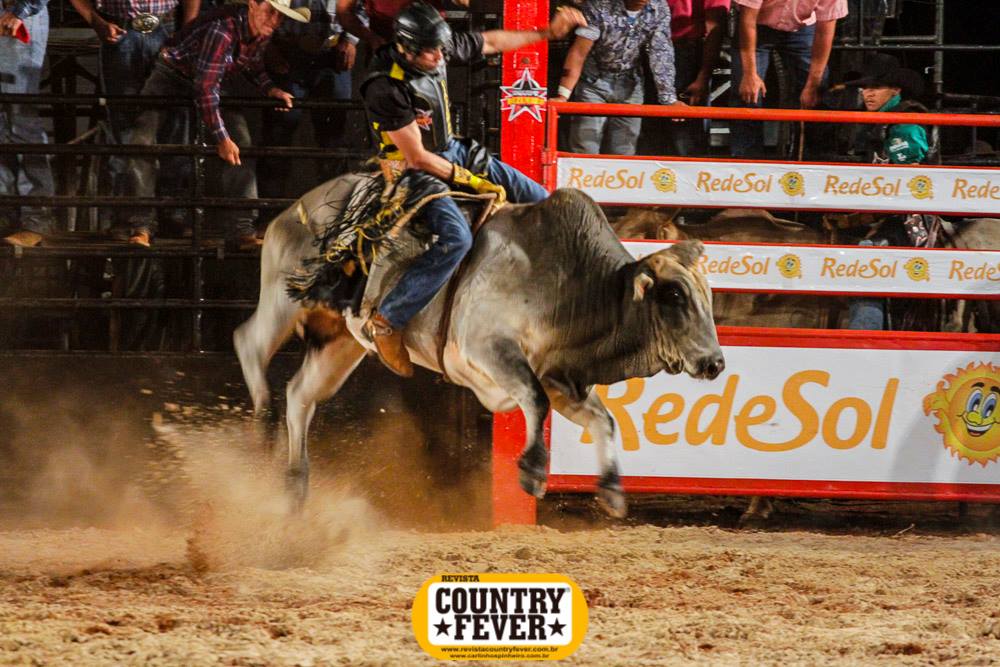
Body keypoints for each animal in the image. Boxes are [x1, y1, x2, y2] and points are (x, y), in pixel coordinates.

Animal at [234, 179, 725, 518]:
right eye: (675, 295)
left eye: (709, 297)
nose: (715, 363)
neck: (573, 287)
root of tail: (295, 209)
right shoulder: (486, 348)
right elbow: (535, 401)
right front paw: (533, 471)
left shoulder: (562, 378)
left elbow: (601, 420)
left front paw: (611, 490)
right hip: (284, 298)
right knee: (249, 344)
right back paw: (259, 417)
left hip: (340, 342)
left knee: (301, 395)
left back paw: (295, 482)